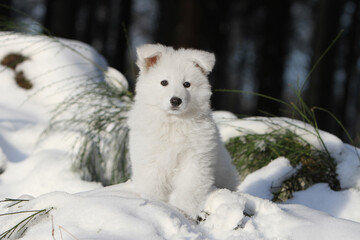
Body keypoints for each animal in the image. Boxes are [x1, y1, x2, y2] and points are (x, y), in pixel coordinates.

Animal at [126, 44, 239, 218]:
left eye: (187, 84)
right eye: (164, 82)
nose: (176, 100)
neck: (174, 122)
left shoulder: (195, 160)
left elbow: (189, 188)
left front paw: (185, 211)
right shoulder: (150, 158)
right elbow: (152, 185)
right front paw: (155, 205)